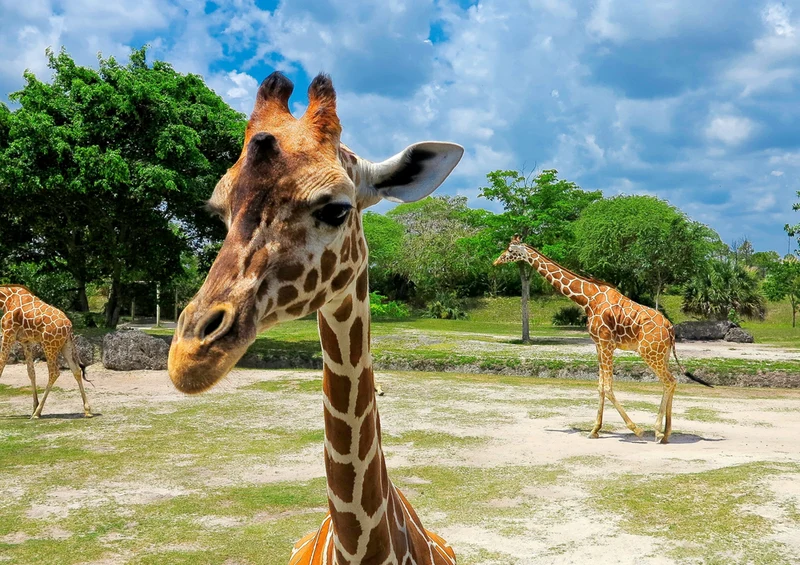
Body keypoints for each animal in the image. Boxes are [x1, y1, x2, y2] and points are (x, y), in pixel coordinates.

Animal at [0, 285, 92, 419]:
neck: (6, 299)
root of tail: (69, 327)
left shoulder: (8, 334)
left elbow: (1, 365)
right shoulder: (26, 341)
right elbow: (31, 372)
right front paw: (34, 406)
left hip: (49, 345)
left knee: (54, 373)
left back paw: (37, 413)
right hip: (66, 345)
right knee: (76, 370)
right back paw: (87, 410)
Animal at [494, 236, 711, 444]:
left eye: (510, 250)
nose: (496, 261)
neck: (587, 299)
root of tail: (670, 328)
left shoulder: (606, 344)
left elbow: (607, 387)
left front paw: (636, 430)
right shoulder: (598, 344)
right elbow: (600, 387)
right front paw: (594, 430)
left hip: (649, 353)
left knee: (669, 381)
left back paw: (658, 432)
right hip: (661, 354)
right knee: (670, 382)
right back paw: (664, 434)